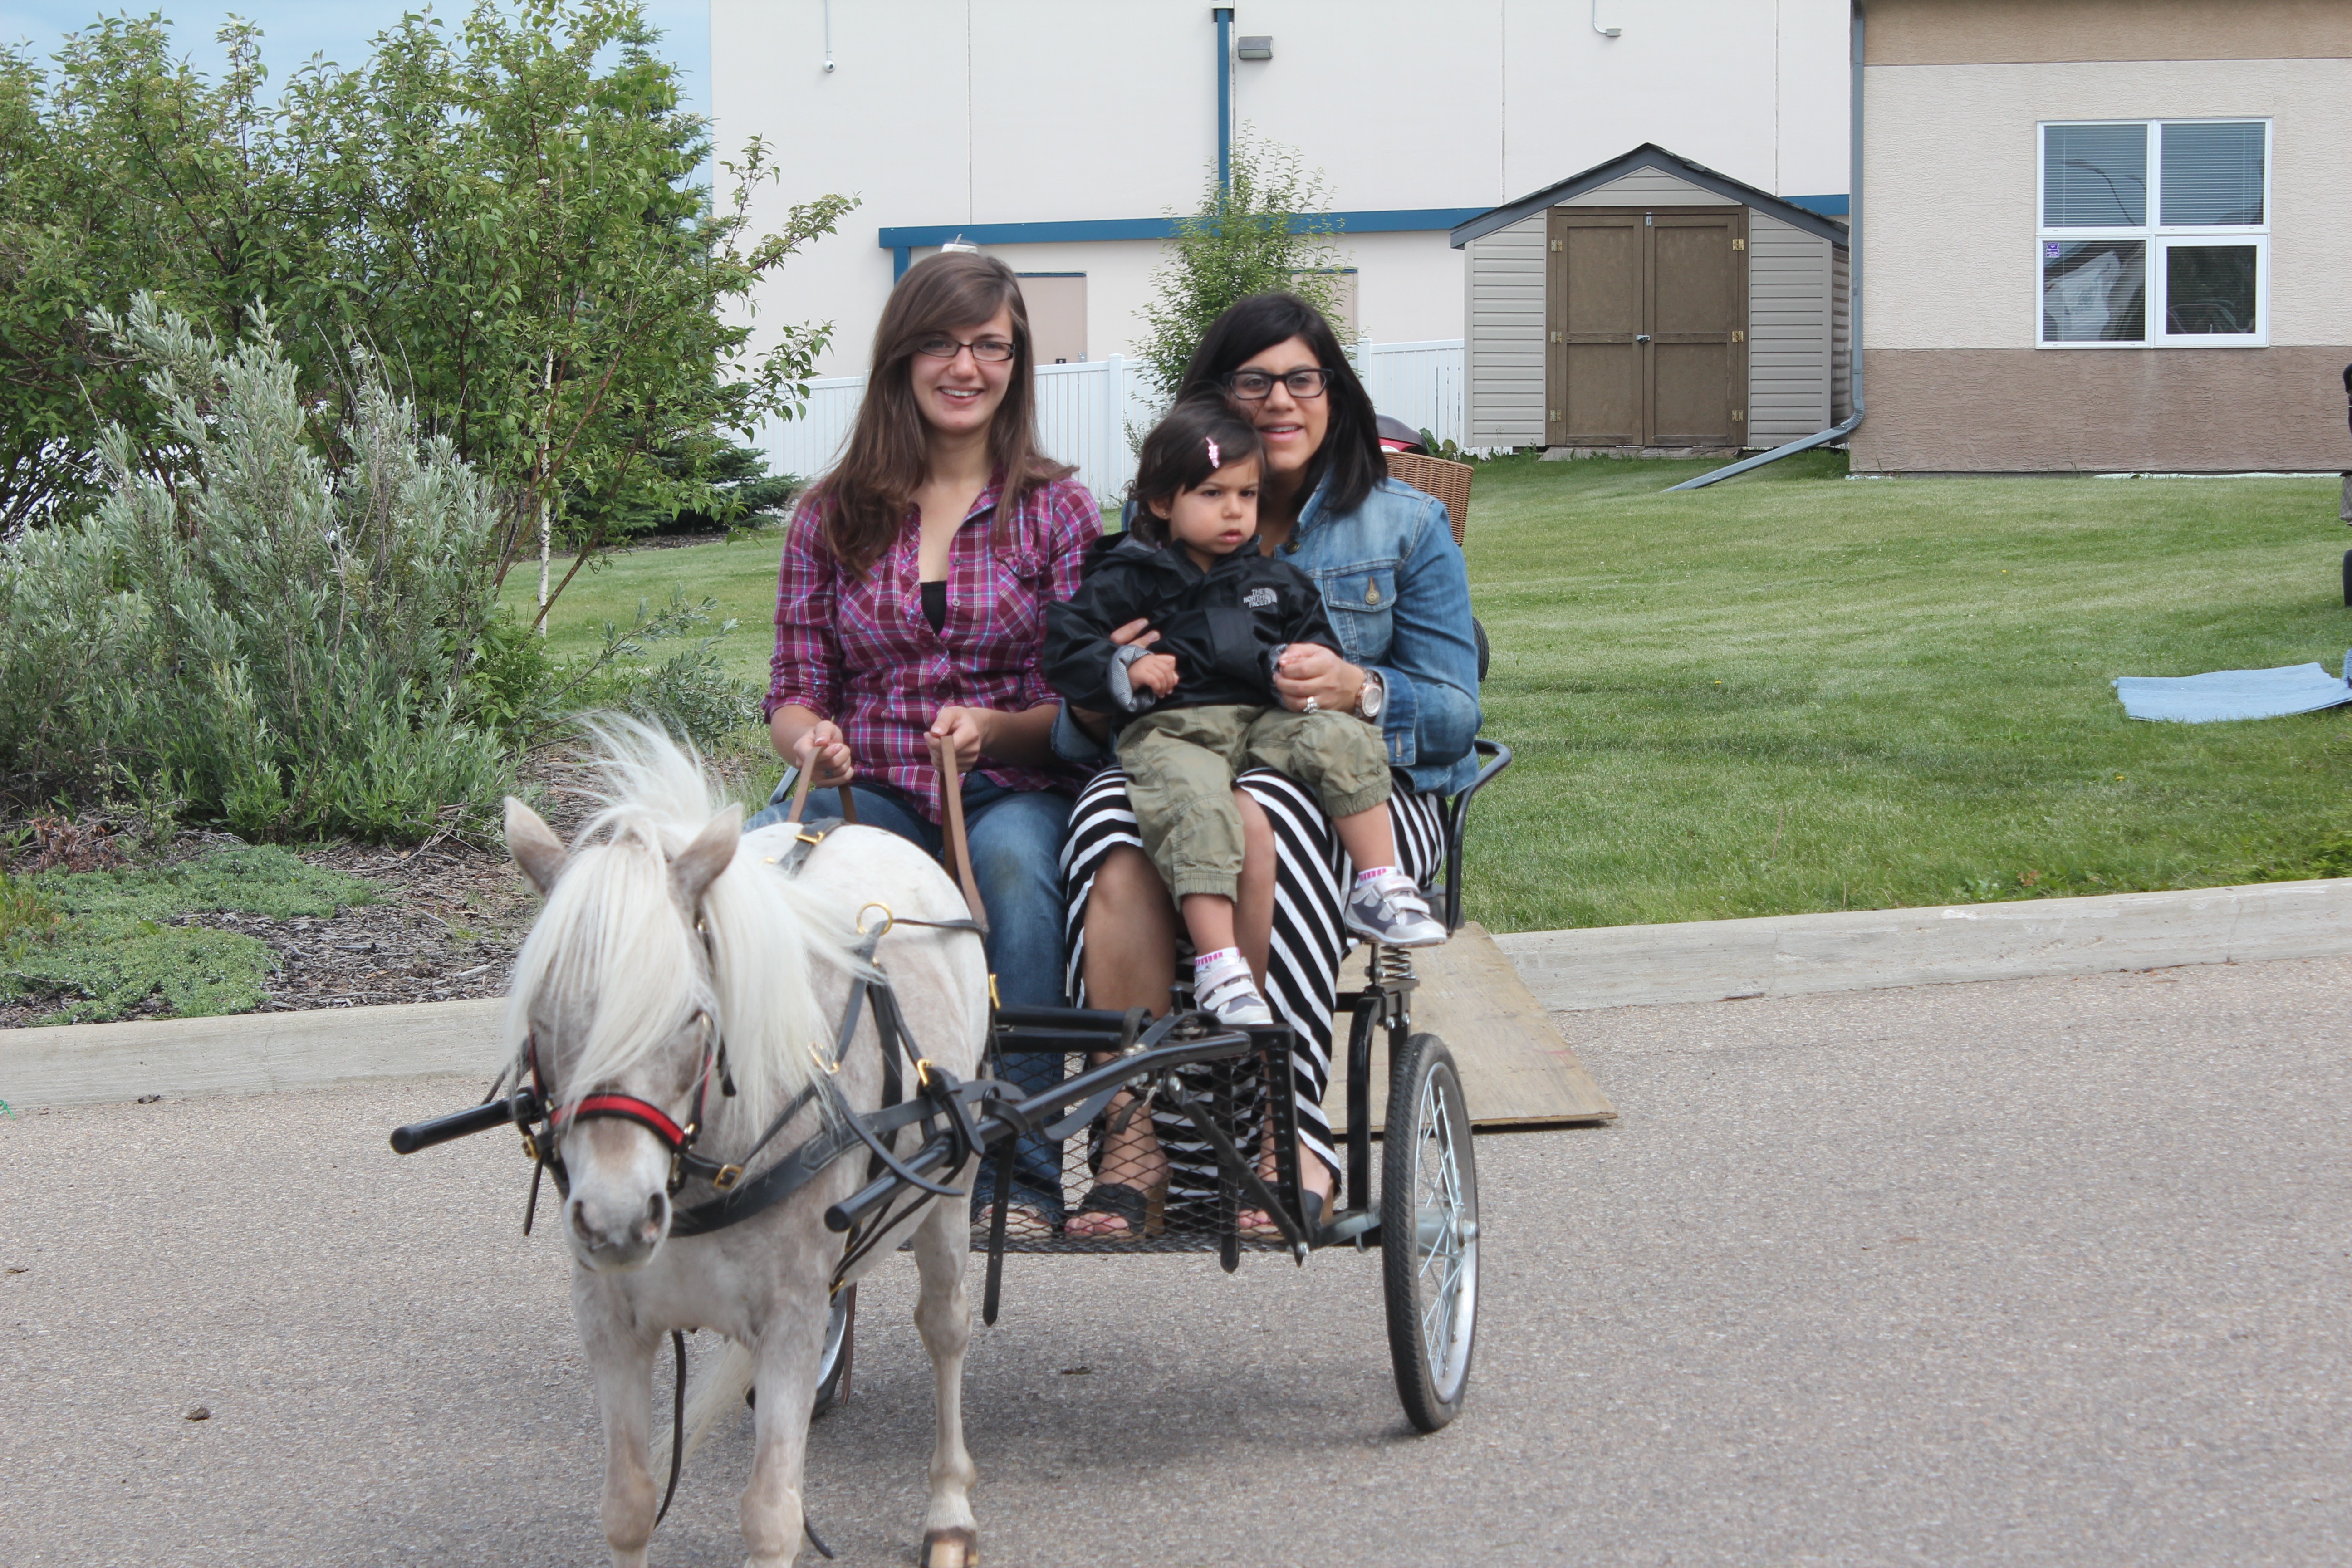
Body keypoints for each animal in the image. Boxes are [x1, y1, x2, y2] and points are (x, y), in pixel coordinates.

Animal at [505, 729, 992, 1568]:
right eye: (542, 1018)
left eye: (691, 1015)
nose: (616, 1218)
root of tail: (856, 826)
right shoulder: (608, 1316)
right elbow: (628, 1506)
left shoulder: (790, 1316)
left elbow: (770, 1517)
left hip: (950, 1192)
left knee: (946, 1328)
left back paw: (948, 1509)